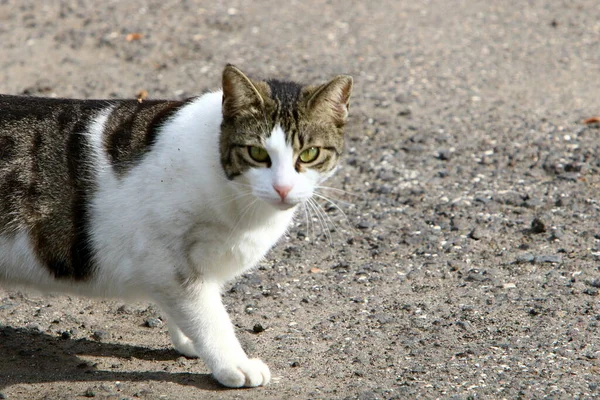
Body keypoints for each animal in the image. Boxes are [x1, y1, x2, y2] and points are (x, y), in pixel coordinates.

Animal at [0, 65, 352, 388]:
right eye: (256, 153)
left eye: (309, 154)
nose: (282, 188)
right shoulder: (166, 262)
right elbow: (209, 316)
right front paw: (232, 363)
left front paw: (188, 340)